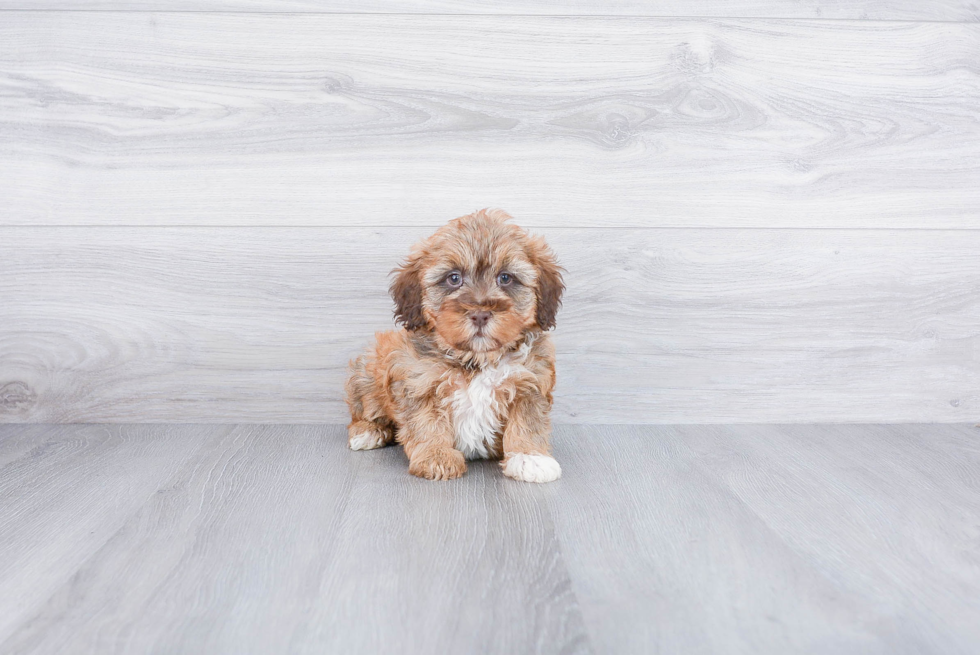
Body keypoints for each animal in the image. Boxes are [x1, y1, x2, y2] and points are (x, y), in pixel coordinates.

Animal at [344, 208, 564, 484]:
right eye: (453, 278)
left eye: (505, 278)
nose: (480, 313)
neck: (476, 358)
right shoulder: (419, 382)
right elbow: (427, 423)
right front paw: (436, 456)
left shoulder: (531, 382)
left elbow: (527, 420)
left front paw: (530, 457)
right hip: (368, 372)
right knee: (364, 409)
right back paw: (368, 431)